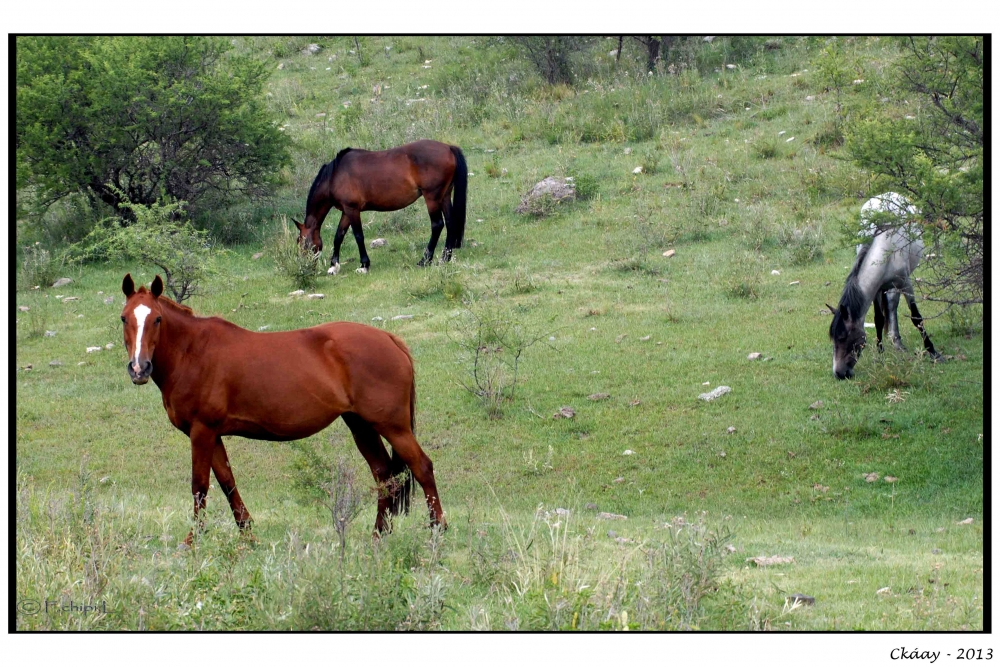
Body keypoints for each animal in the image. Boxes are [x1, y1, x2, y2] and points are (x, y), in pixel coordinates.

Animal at [119, 274, 444, 544]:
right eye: (124, 318)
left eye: (157, 319)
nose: (139, 368)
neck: (192, 352)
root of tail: (391, 339)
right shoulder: (213, 434)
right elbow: (227, 482)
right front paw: (248, 534)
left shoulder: (202, 431)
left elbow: (200, 485)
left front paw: (192, 541)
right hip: (361, 425)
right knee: (384, 475)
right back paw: (378, 535)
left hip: (393, 426)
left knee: (422, 467)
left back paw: (437, 530)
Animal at [292, 140, 468, 276]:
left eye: (303, 244)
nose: (305, 269)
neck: (335, 175)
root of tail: (448, 147)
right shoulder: (346, 211)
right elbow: (338, 236)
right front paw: (333, 266)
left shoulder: (352, 210)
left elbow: (358, 236)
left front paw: (364, 265)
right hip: (444, 196)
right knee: (451, 223)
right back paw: (445, 258)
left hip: (431, 198)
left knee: (437, 225)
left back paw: (424, 260)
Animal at [824, 193, 940, 380]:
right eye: (833, 339)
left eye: (844, 338)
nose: (839, 373)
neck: (884, 247)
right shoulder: (877, 288)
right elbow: (879, 319)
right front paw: (880, 351)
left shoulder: (905, 283)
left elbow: (916, 318)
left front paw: (932, 351)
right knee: (891, 307)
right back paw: (895, 340)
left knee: (893, 305)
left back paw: (898, 342)